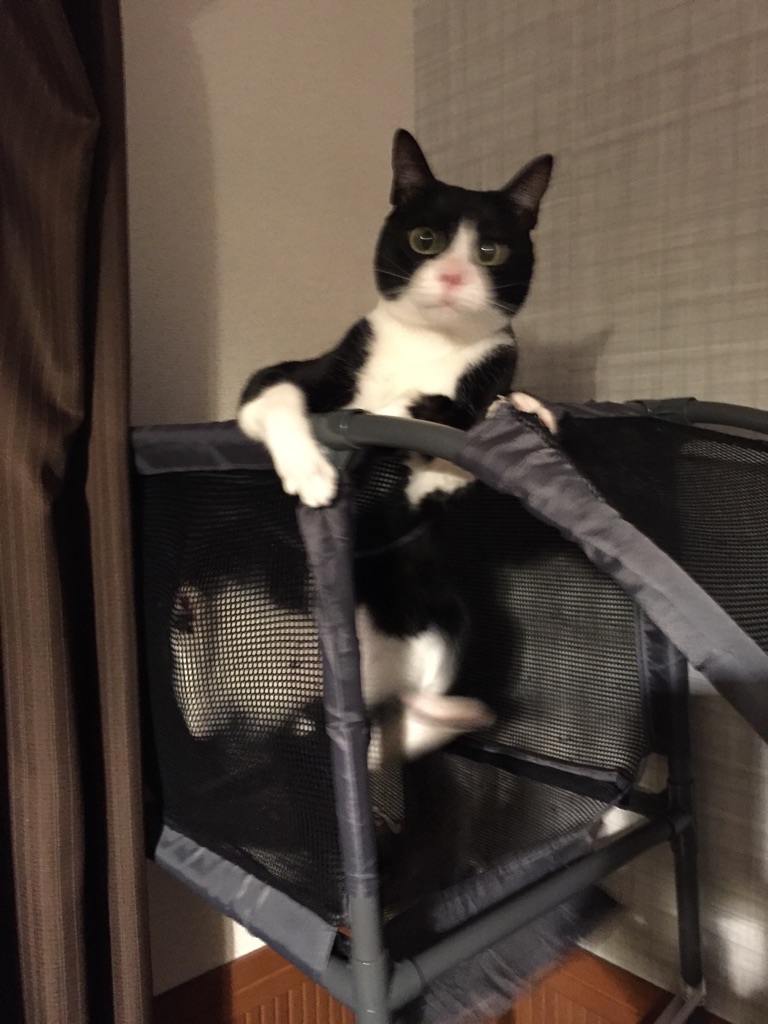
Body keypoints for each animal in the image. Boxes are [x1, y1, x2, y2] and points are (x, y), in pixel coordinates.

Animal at [230, 129, 554, 766]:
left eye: (490, 252)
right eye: (424, 240)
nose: (451, 277)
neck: (428, 346)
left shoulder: (484, 381)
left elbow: (461, 427)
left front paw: (508, 411)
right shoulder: (304, 371)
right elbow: (274, 395)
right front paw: (311, 472)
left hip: (439, 611)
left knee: (402, 725)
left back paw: (453, 712)